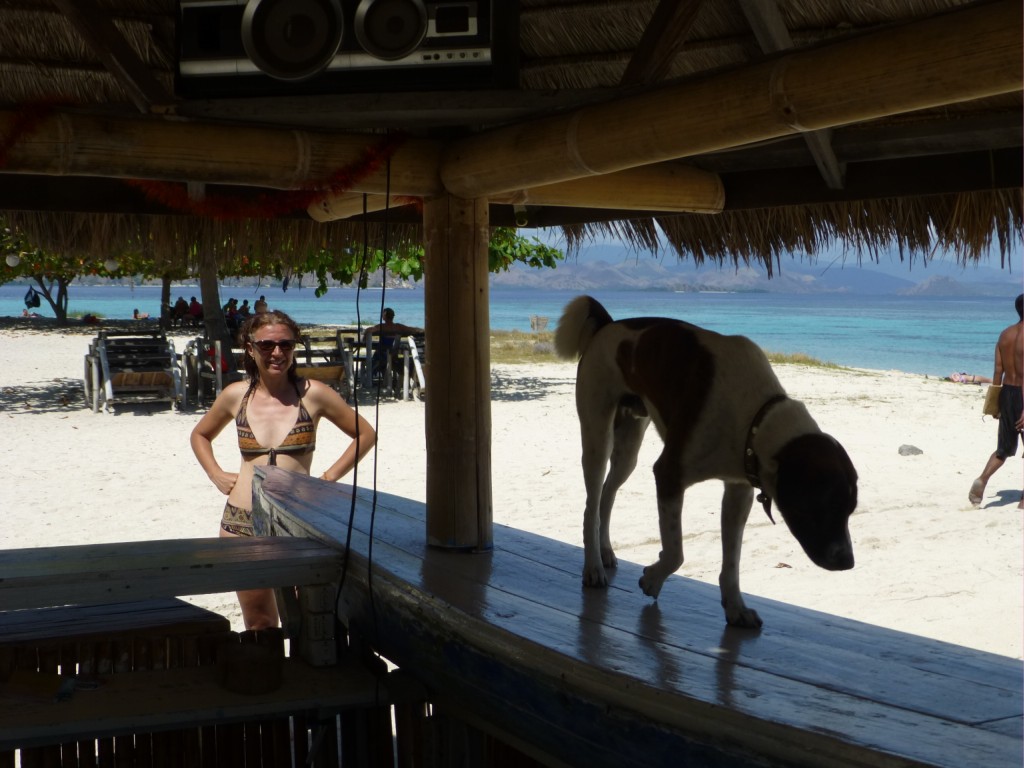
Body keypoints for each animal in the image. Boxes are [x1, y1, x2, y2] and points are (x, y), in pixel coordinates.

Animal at [554, 295, 857, 628]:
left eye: (849, 510)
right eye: (821, 507)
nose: (848, 562)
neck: (756, 417)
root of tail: (608, 325)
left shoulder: (739, 491)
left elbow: (732, 562)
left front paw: (735, 607)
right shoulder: (669, 475)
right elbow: (676, 553)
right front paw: (653, 579)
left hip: (629, 448)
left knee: (607, 496)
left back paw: (606, 550)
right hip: (598, 437)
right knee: (591, 505)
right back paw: (593, 567)